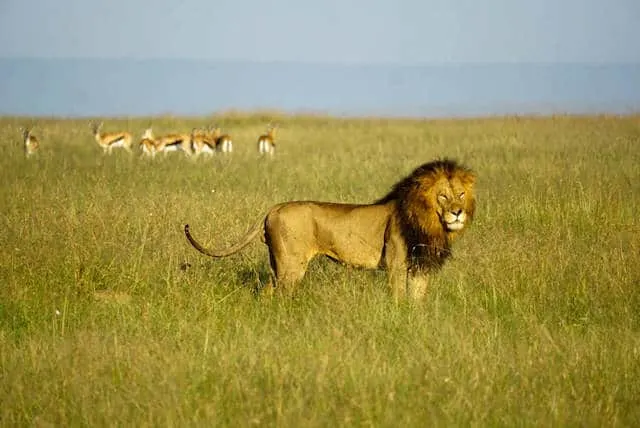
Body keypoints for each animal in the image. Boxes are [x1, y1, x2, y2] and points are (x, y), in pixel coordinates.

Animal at [185, 158, 476, 300]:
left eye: (461, 194)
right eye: (442, 196)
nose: (457, 212)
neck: (430, 223)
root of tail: (273, 208)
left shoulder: (420, 266)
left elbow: (418, 300)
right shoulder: (396, 264)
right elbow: (399, 298)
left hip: (277, 264)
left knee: (267, 292)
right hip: (291, 266)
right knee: (280, 295)